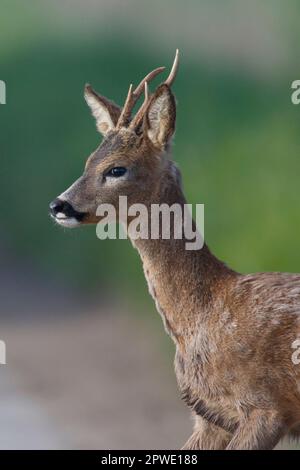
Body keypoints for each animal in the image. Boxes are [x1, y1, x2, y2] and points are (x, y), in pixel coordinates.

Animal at [50, 50, 300, 448]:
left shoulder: (266, 407)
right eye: (88, 161)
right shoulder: (209, 417)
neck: (204, 312)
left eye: (116, 169)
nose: (59, 205)